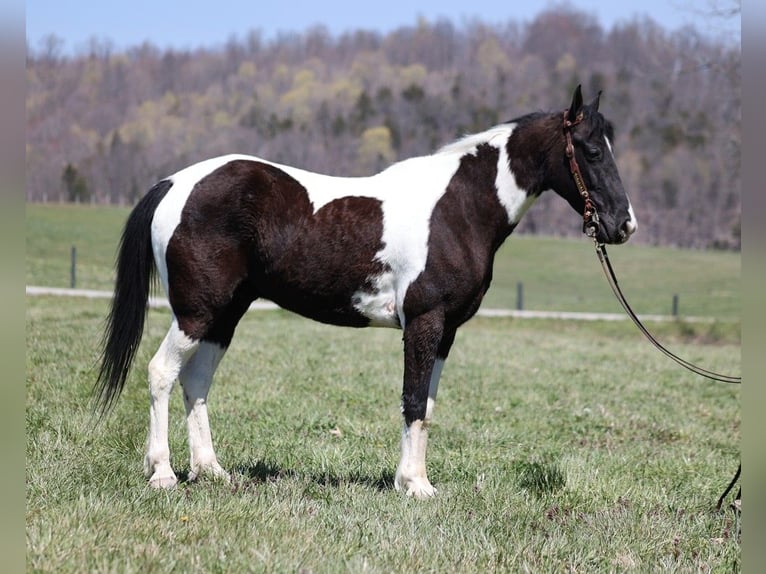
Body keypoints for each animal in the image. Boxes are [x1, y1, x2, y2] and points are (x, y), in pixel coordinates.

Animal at [94, 85, 636, 500]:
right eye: (591, 151)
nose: (623, 225)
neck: (457, 209)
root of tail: (173, 183)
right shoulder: (424, 322)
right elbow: (412, 401)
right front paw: (414, 487)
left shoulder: (445, 333)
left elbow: (427, 406)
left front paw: (413, 480)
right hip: (196, 312)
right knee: (162, 373)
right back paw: (163, 474)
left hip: (223, 315)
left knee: (197, 381)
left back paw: (211, 472)